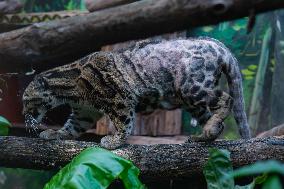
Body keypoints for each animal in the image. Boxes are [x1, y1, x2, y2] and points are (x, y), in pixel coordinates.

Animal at [23, 37, 252, 149]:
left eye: (25, 100)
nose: (24, 114)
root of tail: (218, 45)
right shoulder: (84, 112)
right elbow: (71, 127)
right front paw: (55, 133)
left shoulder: (119, 98)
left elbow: (124, 122)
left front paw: (115, 141)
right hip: (191, 100)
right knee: (217, 121)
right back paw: (204, 135)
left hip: (193, 87)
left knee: (227, 100)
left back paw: (209, 129)